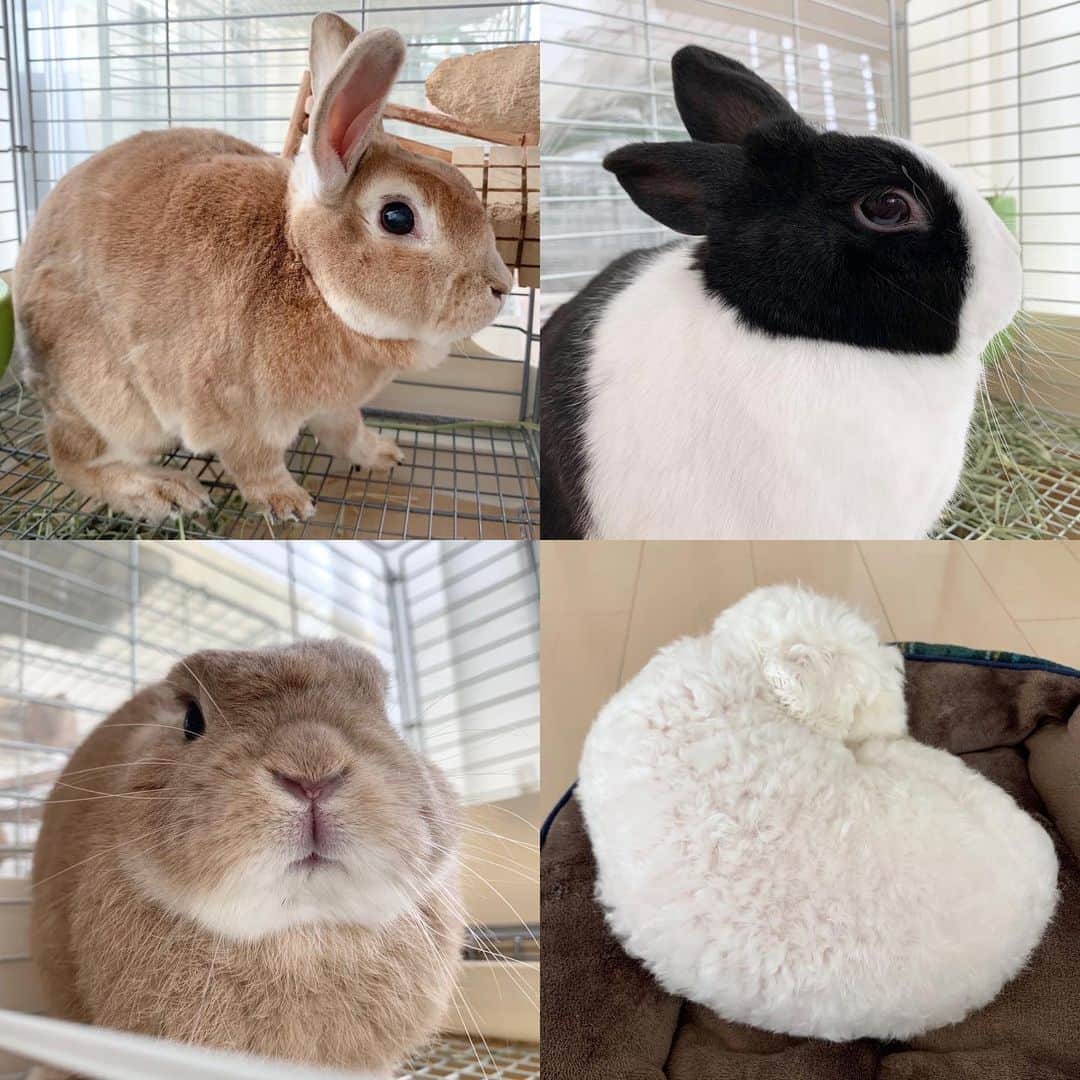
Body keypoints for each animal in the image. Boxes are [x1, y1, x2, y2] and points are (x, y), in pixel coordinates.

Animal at [13, 14, 513, 524]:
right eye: (397, 217)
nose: (502, 287)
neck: (309, 274)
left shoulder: (336, 407)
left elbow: (346, 432)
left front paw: (382, 454)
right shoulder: (237, 415)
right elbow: (256, 465)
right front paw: (288, 503)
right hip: (110, 404)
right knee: (74, 461)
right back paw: (162, 492)